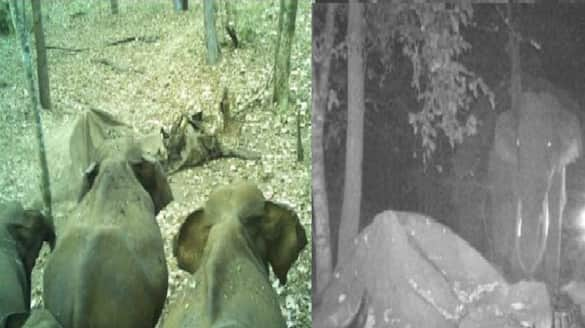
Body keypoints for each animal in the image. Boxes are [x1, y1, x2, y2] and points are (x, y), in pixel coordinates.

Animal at [488, 82, 580, 288]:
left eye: (549, 144)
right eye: (517, 144)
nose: (529, 276)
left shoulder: (559, 169)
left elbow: (556, 207)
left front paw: (551, 286)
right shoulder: (512, 168)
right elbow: (514, 207)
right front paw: (517, 277)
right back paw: (500, 264)